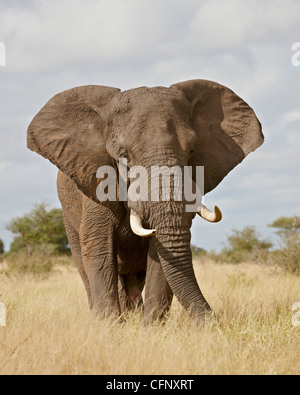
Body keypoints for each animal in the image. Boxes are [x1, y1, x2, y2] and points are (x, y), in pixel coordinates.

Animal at [27, 79, 264, 324]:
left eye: (192, 150)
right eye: (124, 156)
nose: (215, 323)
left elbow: (160, 252)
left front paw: (150, 327)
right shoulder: (95, 183)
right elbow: (100, 248)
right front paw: (108, 326)